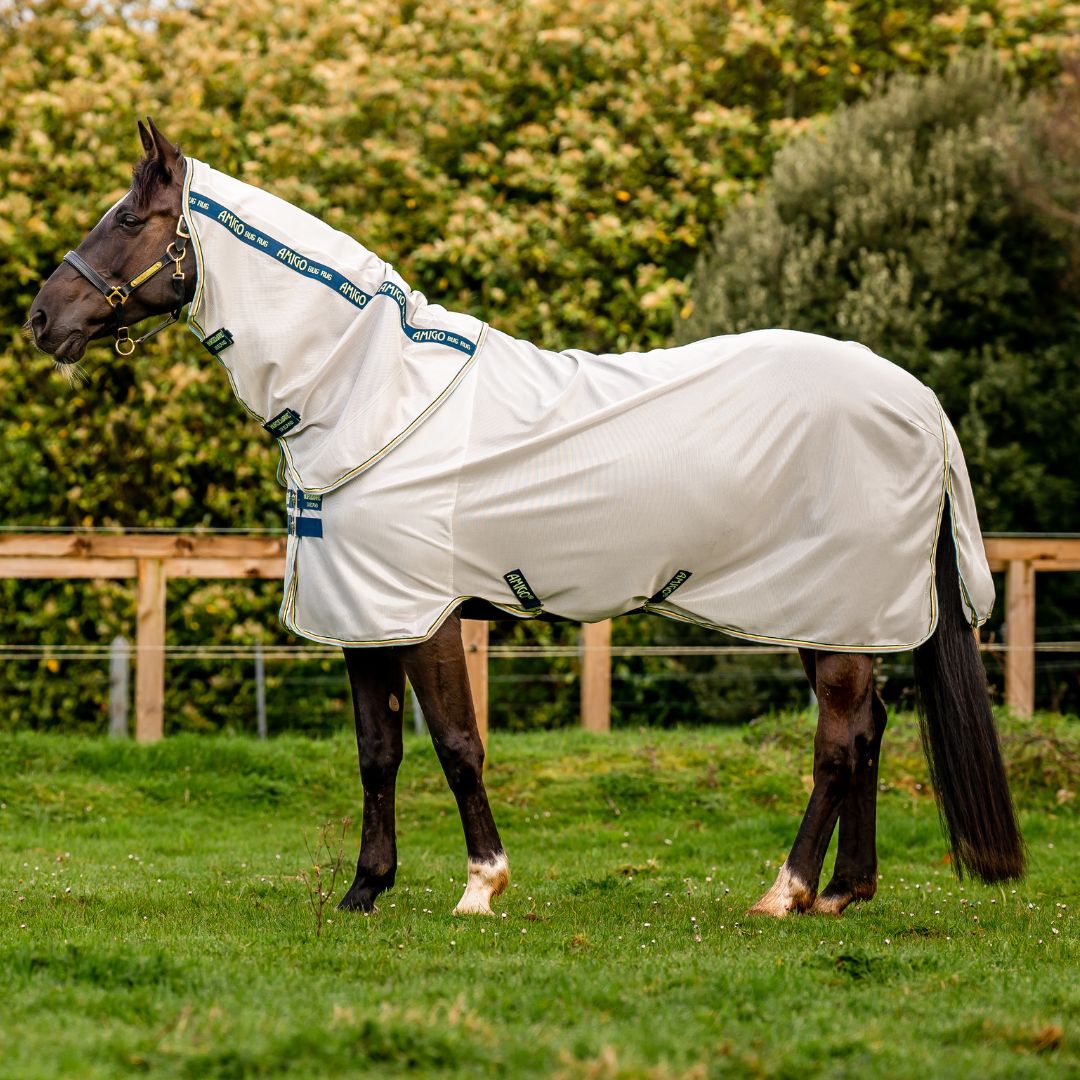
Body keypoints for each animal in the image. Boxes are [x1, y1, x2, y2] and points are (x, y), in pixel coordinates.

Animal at [23, 120, 1019, 920]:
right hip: (834, 616)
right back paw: (845, 891)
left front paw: (481, 885)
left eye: (126, 221)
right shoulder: (365, 623)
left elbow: (458, 745)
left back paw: (786, 892)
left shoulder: (423, 619)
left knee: (839, 741)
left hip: (832, 612)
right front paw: (365, 890)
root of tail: (919, 401)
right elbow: (377, 753)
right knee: (871, 732)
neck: (373, 396)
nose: (40, 319)